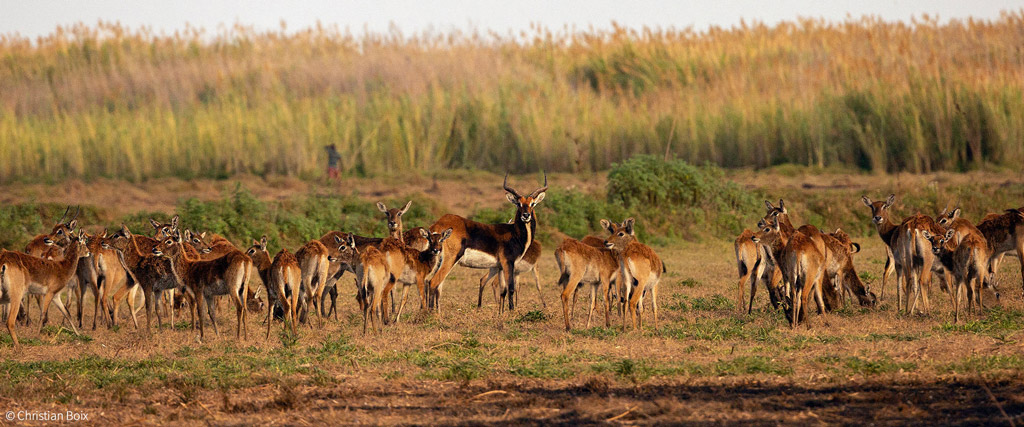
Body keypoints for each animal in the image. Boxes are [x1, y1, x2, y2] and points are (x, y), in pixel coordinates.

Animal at [425, 172, 548, 313]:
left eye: (532, 204)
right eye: (518, 204)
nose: (526, 215)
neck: (514, 233)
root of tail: (438, 224)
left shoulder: (499, 267)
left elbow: (503, 291)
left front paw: (501, 313)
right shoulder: (508, 262)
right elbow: (511, 288)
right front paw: (511, 312)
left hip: (439, 261)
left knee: (435, 285)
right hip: (450, 260)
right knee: (434, 282)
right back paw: (431, 314)